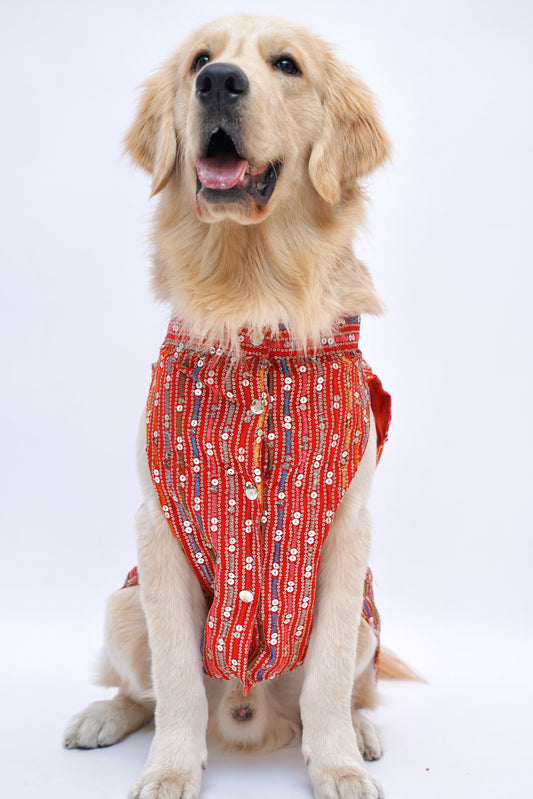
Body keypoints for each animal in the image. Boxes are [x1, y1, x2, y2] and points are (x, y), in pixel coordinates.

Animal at [64, 12, 406, 799]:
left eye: (286, 64)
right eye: (199, 59)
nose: (218, 82)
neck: (251, 301)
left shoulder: (347, 535)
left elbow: (328, 677)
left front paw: (338, 764)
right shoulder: (157, 527)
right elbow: (179, 681)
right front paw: (169, 768)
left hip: (371, 616)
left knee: (346, 687)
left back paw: (363, 733)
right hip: (120, 603)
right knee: (143, 688)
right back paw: (103, 716)